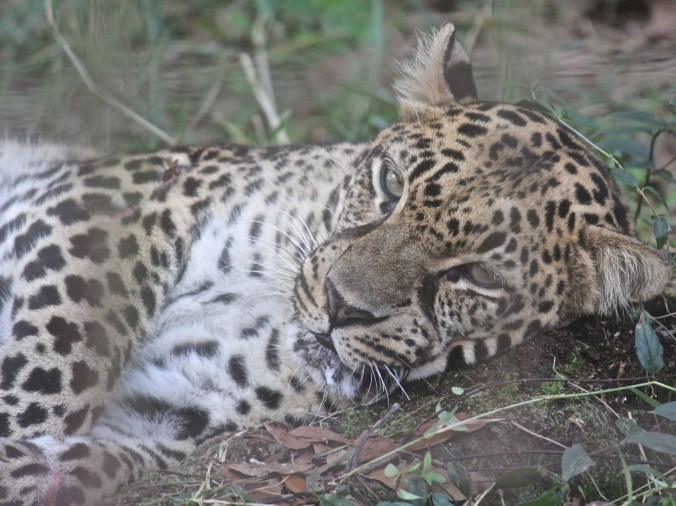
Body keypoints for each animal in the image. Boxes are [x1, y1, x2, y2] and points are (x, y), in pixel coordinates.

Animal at [0, 23, 670, 505]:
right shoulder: (122, 199)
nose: (340, 306)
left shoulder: (169, 409)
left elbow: (84, 456)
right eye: (391, 183)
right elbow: (58, 358)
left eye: (476, 277)